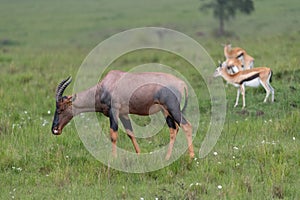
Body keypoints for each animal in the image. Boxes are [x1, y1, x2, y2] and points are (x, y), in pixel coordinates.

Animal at [51, 69, 195, 160]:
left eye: (60, 109)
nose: (55, 129)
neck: (107, 84)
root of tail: (182, 83)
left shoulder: (114, 111)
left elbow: (113, 135)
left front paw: (114, 158)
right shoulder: (123, 114)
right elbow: (130, 133)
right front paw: (139, 155)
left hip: (173, 108)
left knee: (186, 126)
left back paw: (191, 157)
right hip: (165, 111)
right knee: (173, 129)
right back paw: (167, 158)